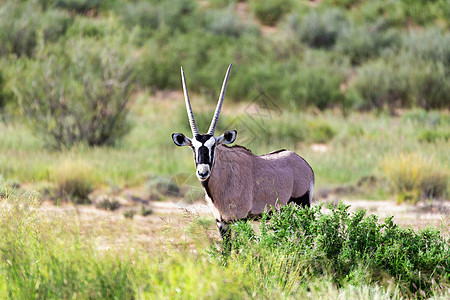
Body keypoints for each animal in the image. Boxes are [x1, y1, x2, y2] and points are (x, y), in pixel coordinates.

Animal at [172, 63, 316, 239]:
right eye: (193, 147)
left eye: (214, 146)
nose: (203, 172)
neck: (223, 177)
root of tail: (305, 164)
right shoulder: (221, 222)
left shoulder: (240, 218)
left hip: (302, 205)